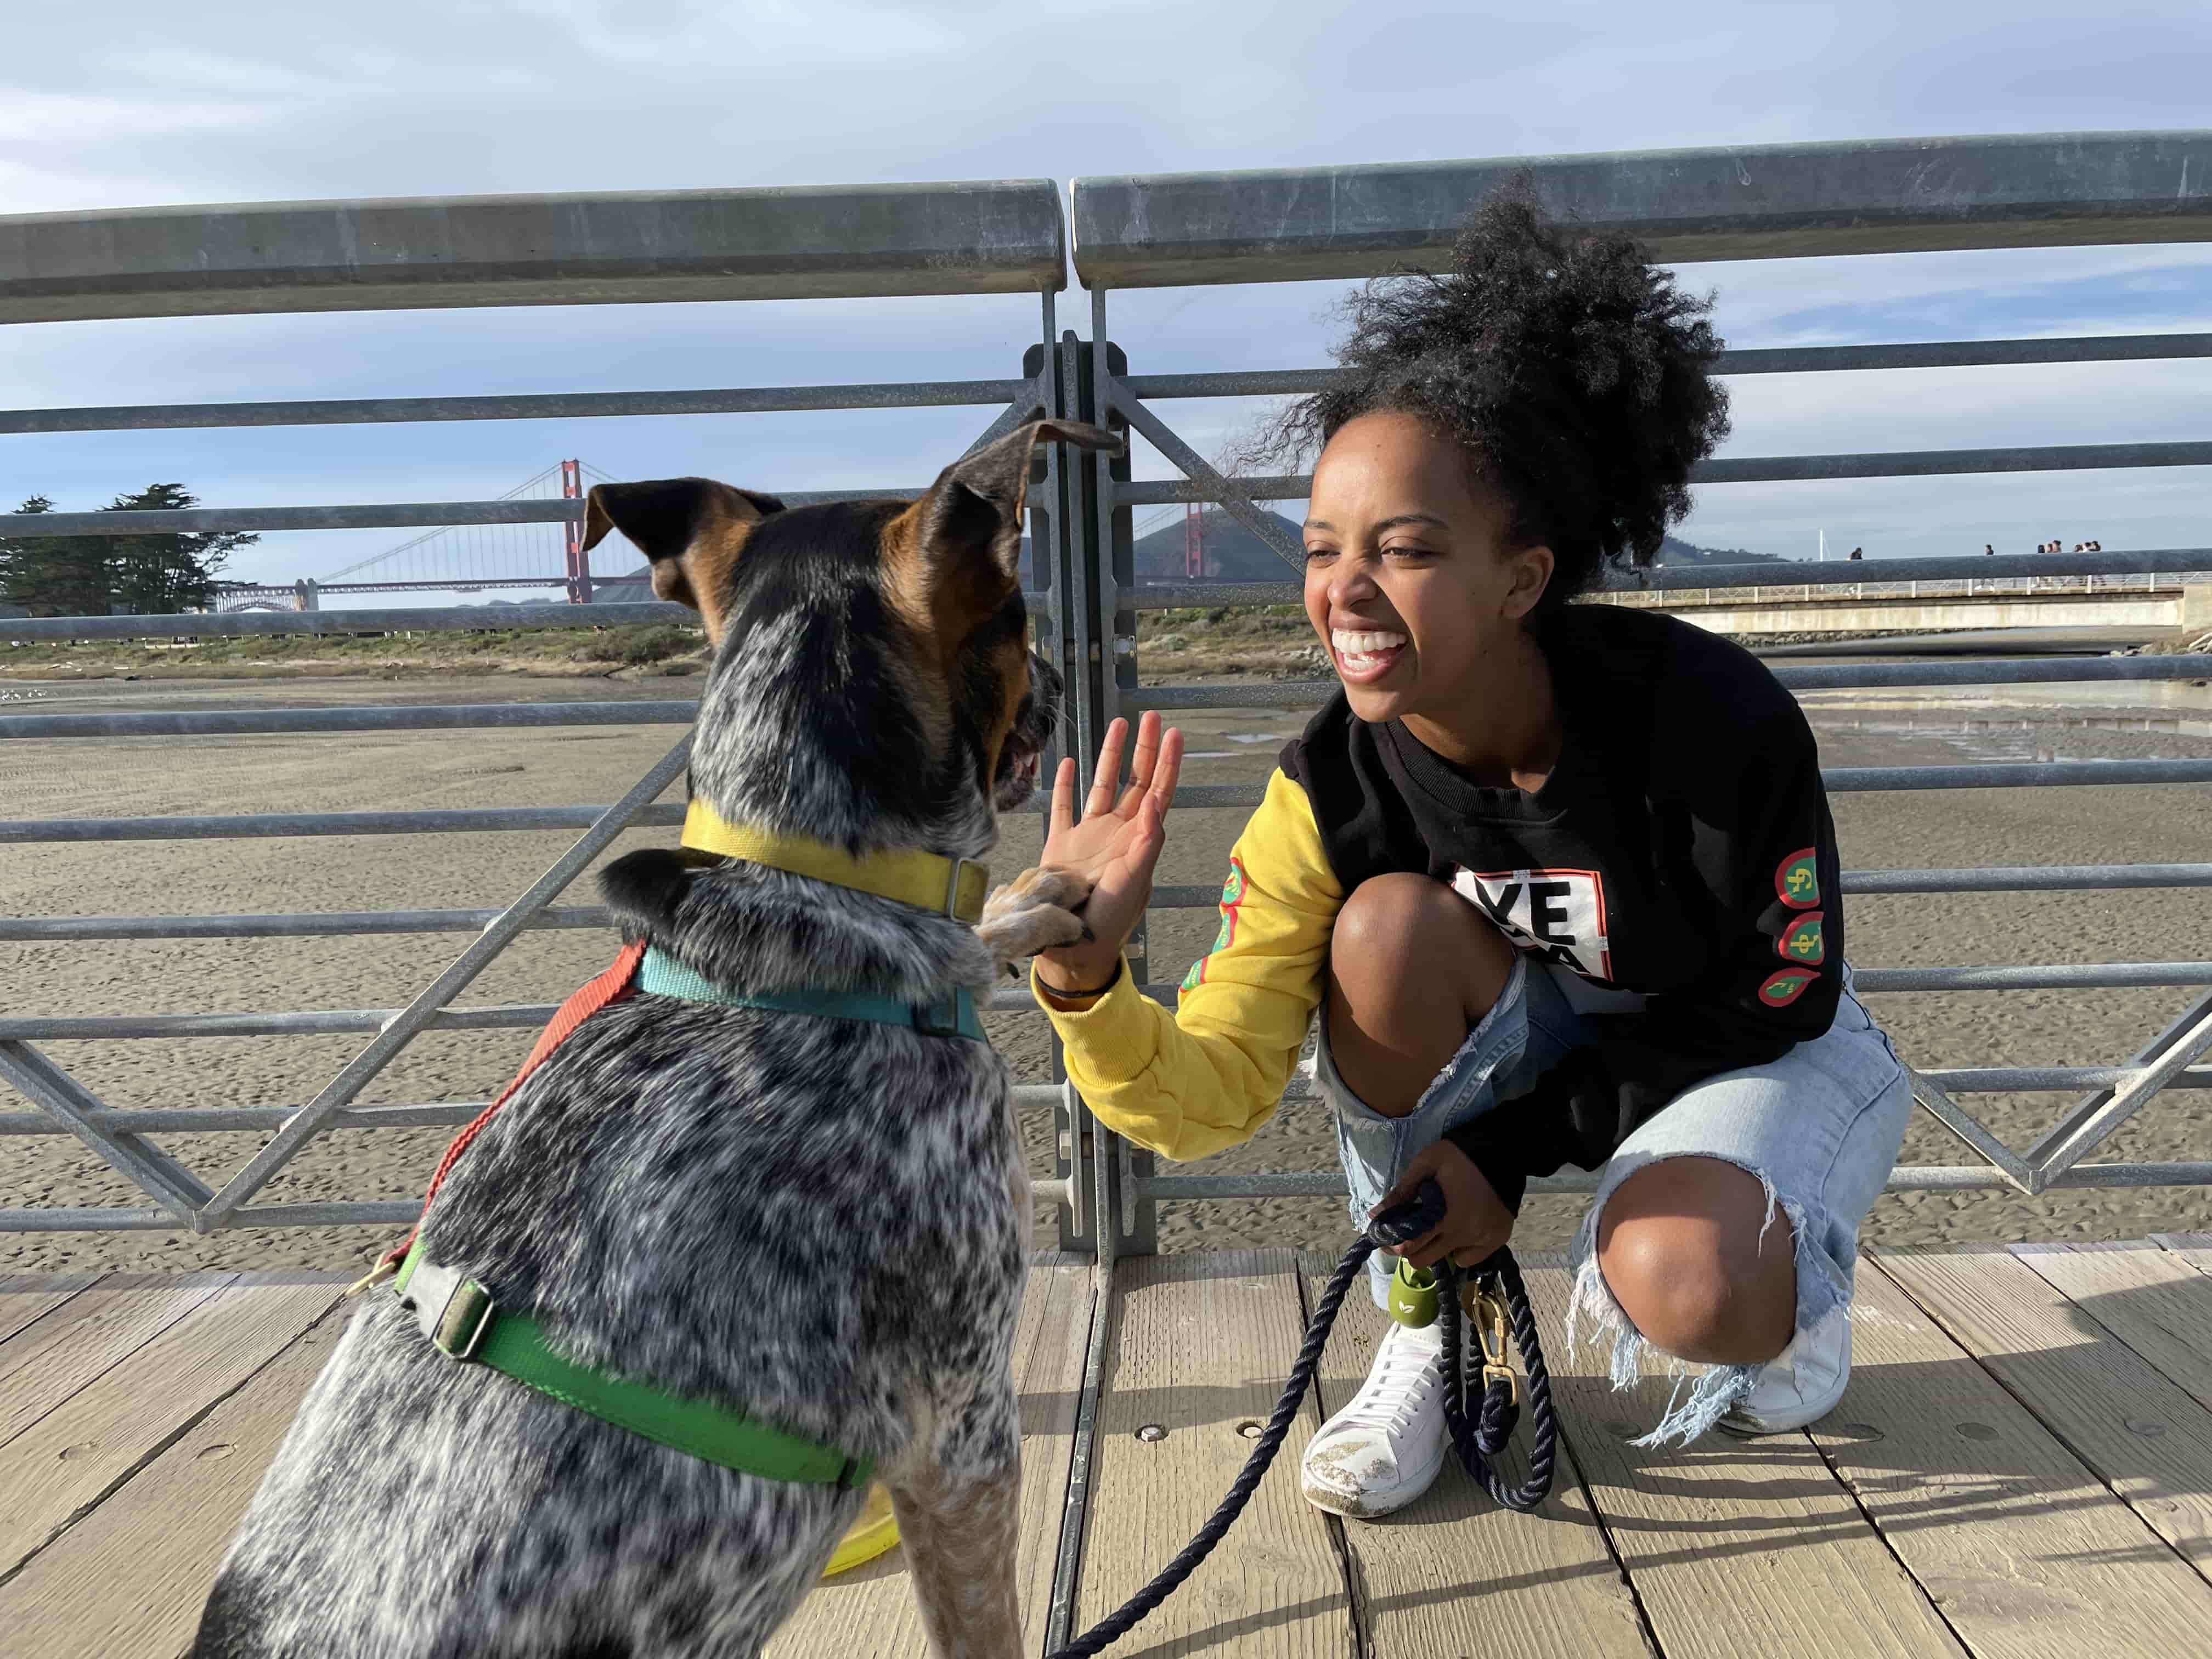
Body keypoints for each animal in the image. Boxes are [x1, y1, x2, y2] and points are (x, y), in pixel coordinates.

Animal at [185, 418, 1124, 1659]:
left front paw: (1037, 898)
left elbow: (977, 923)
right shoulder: (962, 1432)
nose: (1060, 678)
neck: (792, 878)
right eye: (1016, 614)